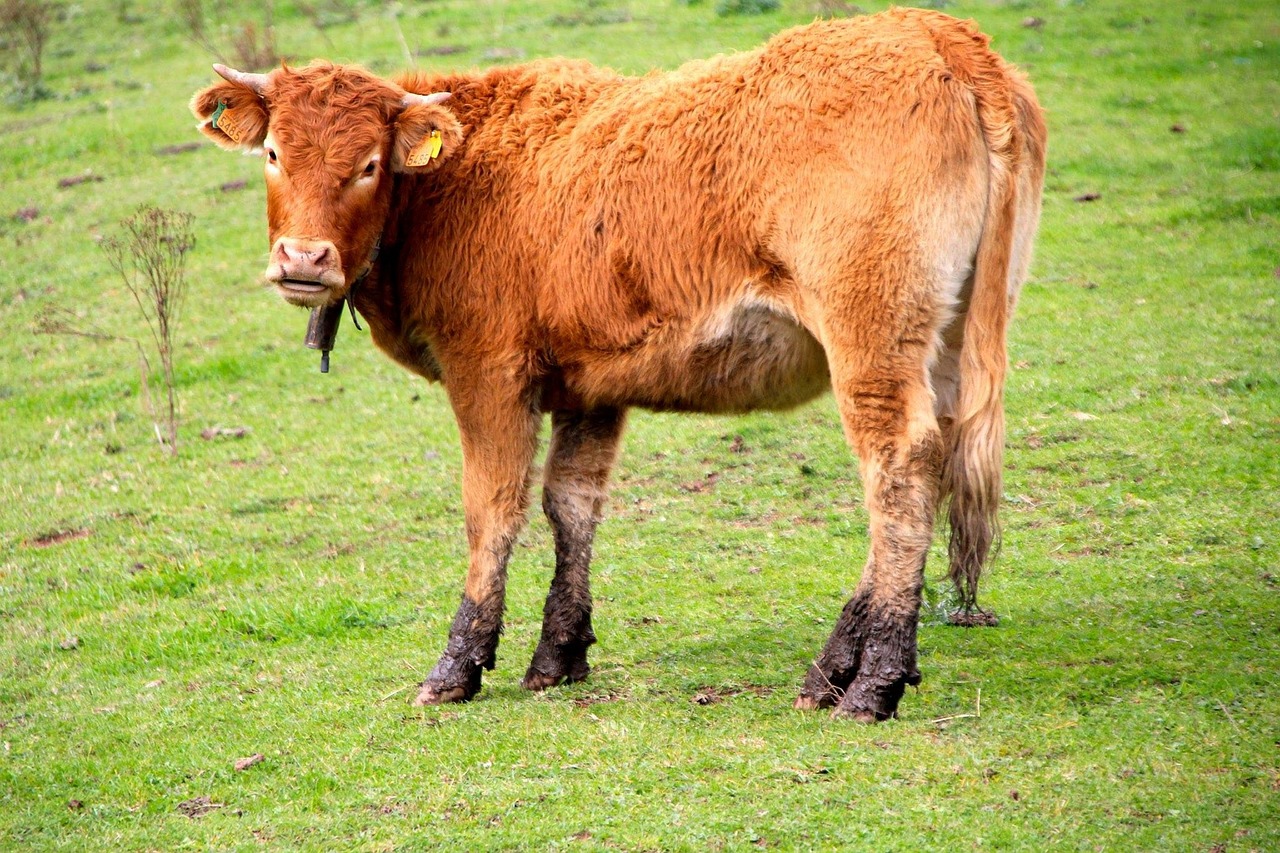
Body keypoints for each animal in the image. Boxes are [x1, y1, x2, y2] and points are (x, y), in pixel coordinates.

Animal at [194, 9, 1044, 722]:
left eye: (369, 163)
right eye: (274, 153)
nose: (303, 259)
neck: (457, 178)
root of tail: (940, 35)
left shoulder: (488, 373)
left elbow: (491, 510)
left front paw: (457, 665)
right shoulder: (590, 384)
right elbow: (571, 504)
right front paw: (557, 654)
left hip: (869, 337)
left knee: (899, 470)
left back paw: (873, 681)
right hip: (946, 337)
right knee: (931, 463)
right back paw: (831, 669)